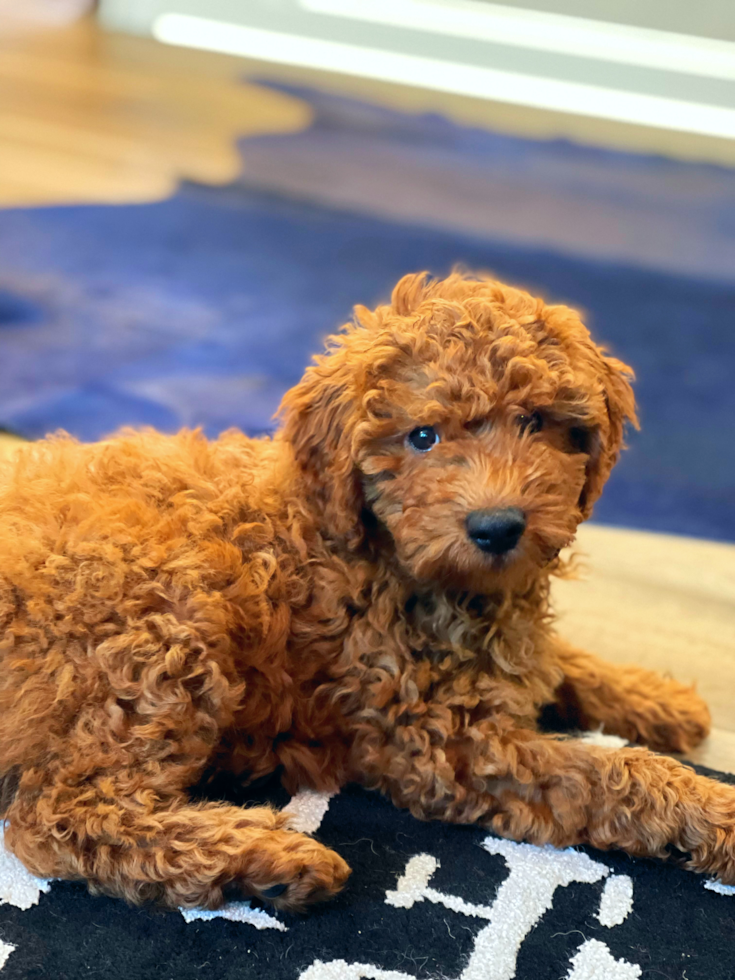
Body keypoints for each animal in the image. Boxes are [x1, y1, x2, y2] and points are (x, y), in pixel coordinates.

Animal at [0, 270, 728, 912]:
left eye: (534, 422)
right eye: (423, 437)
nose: (497, 527)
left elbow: (562, 662)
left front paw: (654, 698)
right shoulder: (442, 746)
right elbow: (613, 773)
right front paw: (719, 814)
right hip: (159, 625)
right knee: (62, 814)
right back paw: (270, 861)